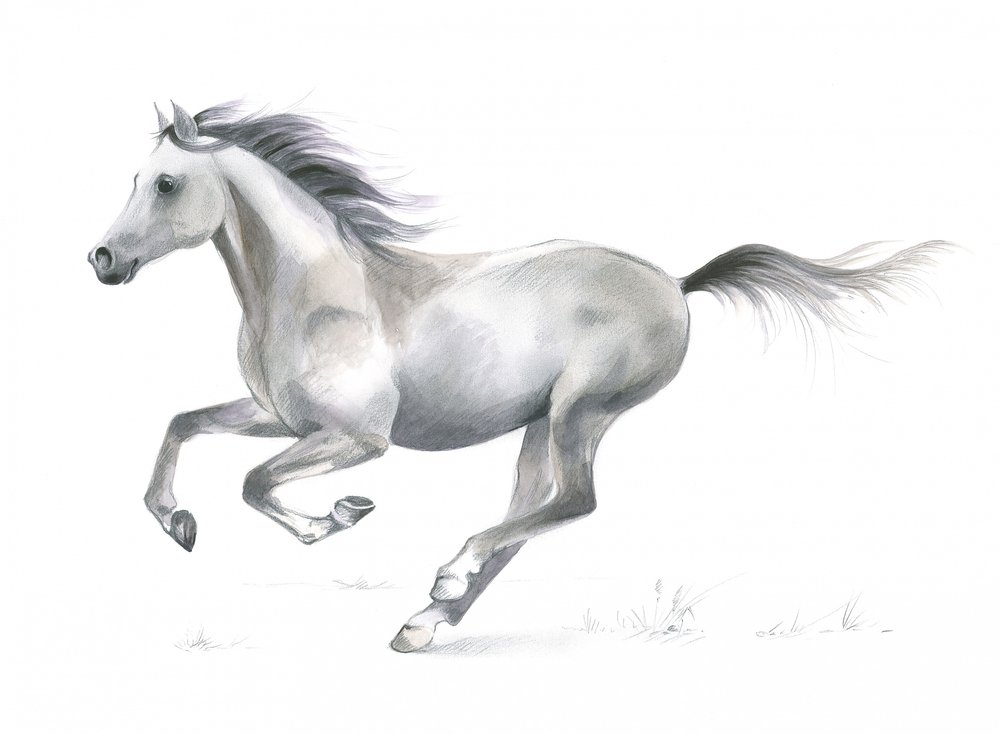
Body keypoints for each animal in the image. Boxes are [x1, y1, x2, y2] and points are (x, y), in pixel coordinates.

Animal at [87, 102, 948, 652]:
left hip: (581, 412)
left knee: (572, 502)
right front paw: (177, 522)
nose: (102, 259)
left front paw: (338, 517)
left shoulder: (357, 438)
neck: (318, 290)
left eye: (164, 183)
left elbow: (255, 483)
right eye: (133, 176)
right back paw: (425, 621)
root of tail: (677, 283)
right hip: (540, 424)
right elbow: (182, 425)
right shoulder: (281, 417)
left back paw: (446, 580)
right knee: (531, 514)